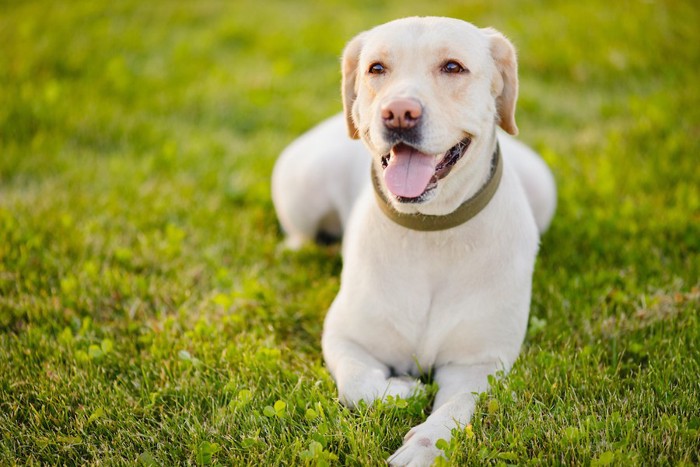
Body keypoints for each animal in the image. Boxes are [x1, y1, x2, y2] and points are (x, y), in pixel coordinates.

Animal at [270, 16, 556, 466]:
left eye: (453, 67)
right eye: (376, 68)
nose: (399, 113)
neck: (431, 230)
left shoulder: (478, 364)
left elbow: (455, 408)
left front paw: (425, 445)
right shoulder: (343, 336)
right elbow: (358, 385)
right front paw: (403, 389)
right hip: (303, 186)